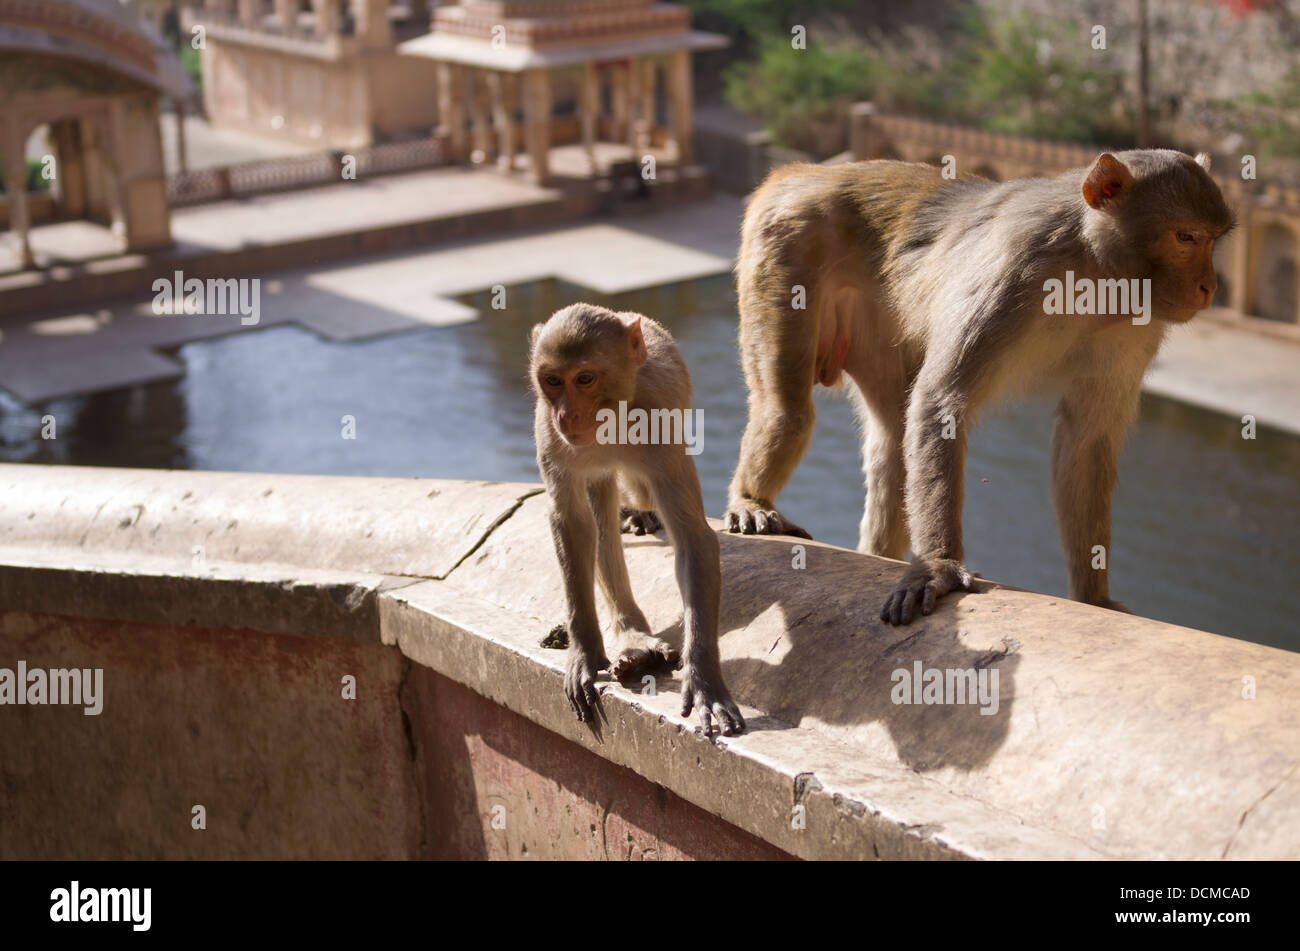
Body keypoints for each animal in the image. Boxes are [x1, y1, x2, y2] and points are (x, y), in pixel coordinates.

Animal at [530, 304, 754, 737]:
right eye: (552, 380)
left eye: (584, 378)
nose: (567, 415)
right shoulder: (550, 436)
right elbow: (571, 523)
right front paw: (584, 651)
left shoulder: (660, 433)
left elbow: (693, 538)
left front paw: (703, 680)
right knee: (597, 514)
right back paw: (633, 639)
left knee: (640, 500)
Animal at [728, 148, 1232, 623]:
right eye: (1186, 237)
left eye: (1213, 239)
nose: (1208, 287)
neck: (1096, 268)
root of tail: (804, 171)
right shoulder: (1016, 270)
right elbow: (941, 404)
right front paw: (939, 567)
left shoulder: (1135, 329)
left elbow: (1085, 440)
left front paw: (1095, 598)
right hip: (784, 247)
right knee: (788, 410)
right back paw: (751, 500)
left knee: (893, 434)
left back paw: (876, 554)